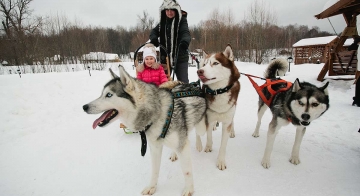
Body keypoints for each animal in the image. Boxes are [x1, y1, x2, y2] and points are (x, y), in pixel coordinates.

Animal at [81, 66, 205, 196]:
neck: (158, 114)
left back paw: (199, 144)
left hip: (201, 127)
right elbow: (155, 170)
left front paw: (189, 189)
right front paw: (152, 187)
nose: (84, 107)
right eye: (102, 94)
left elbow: (186, 171)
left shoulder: (182, 147)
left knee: (198, 132)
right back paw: (174, 153)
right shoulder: (155, 147)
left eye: (109, 95)